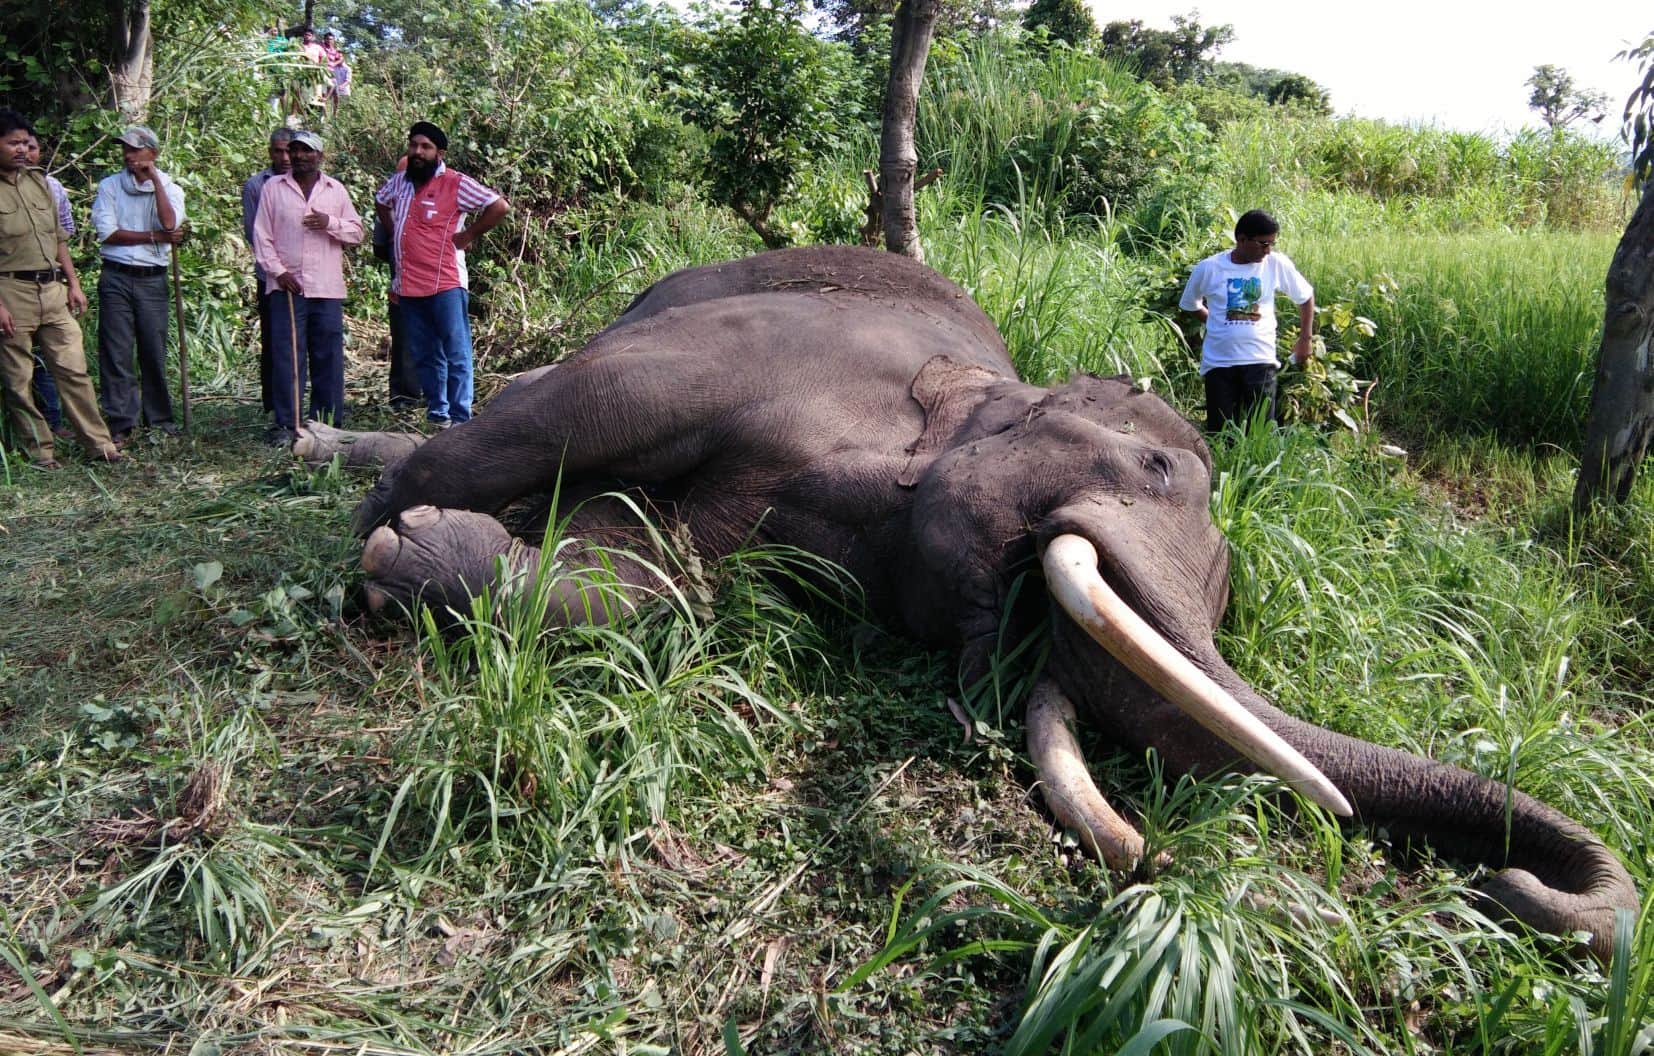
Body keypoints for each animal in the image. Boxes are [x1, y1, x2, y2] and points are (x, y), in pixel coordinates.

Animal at [338, 245, 1636, 960]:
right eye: (1159, 467)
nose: (1505, 886)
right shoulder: (769, 357)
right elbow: (595, 411)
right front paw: (387, 532)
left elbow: (662, 580)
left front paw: (424, 551)